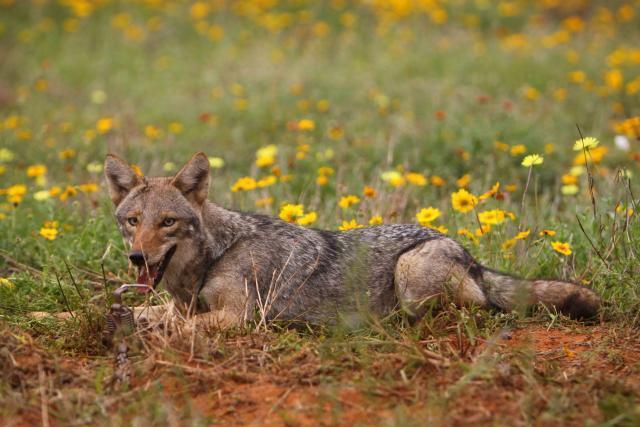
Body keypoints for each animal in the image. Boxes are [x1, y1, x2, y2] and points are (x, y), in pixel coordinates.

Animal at [104, 152, 600, 328]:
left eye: (168, 222)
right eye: (132, 221)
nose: (136, 257)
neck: (214, 257)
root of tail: (467, 252)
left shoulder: (241, 318)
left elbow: (176, 328)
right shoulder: (172, 304)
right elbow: (127, 311)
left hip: (410, 277)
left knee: (477, 310)